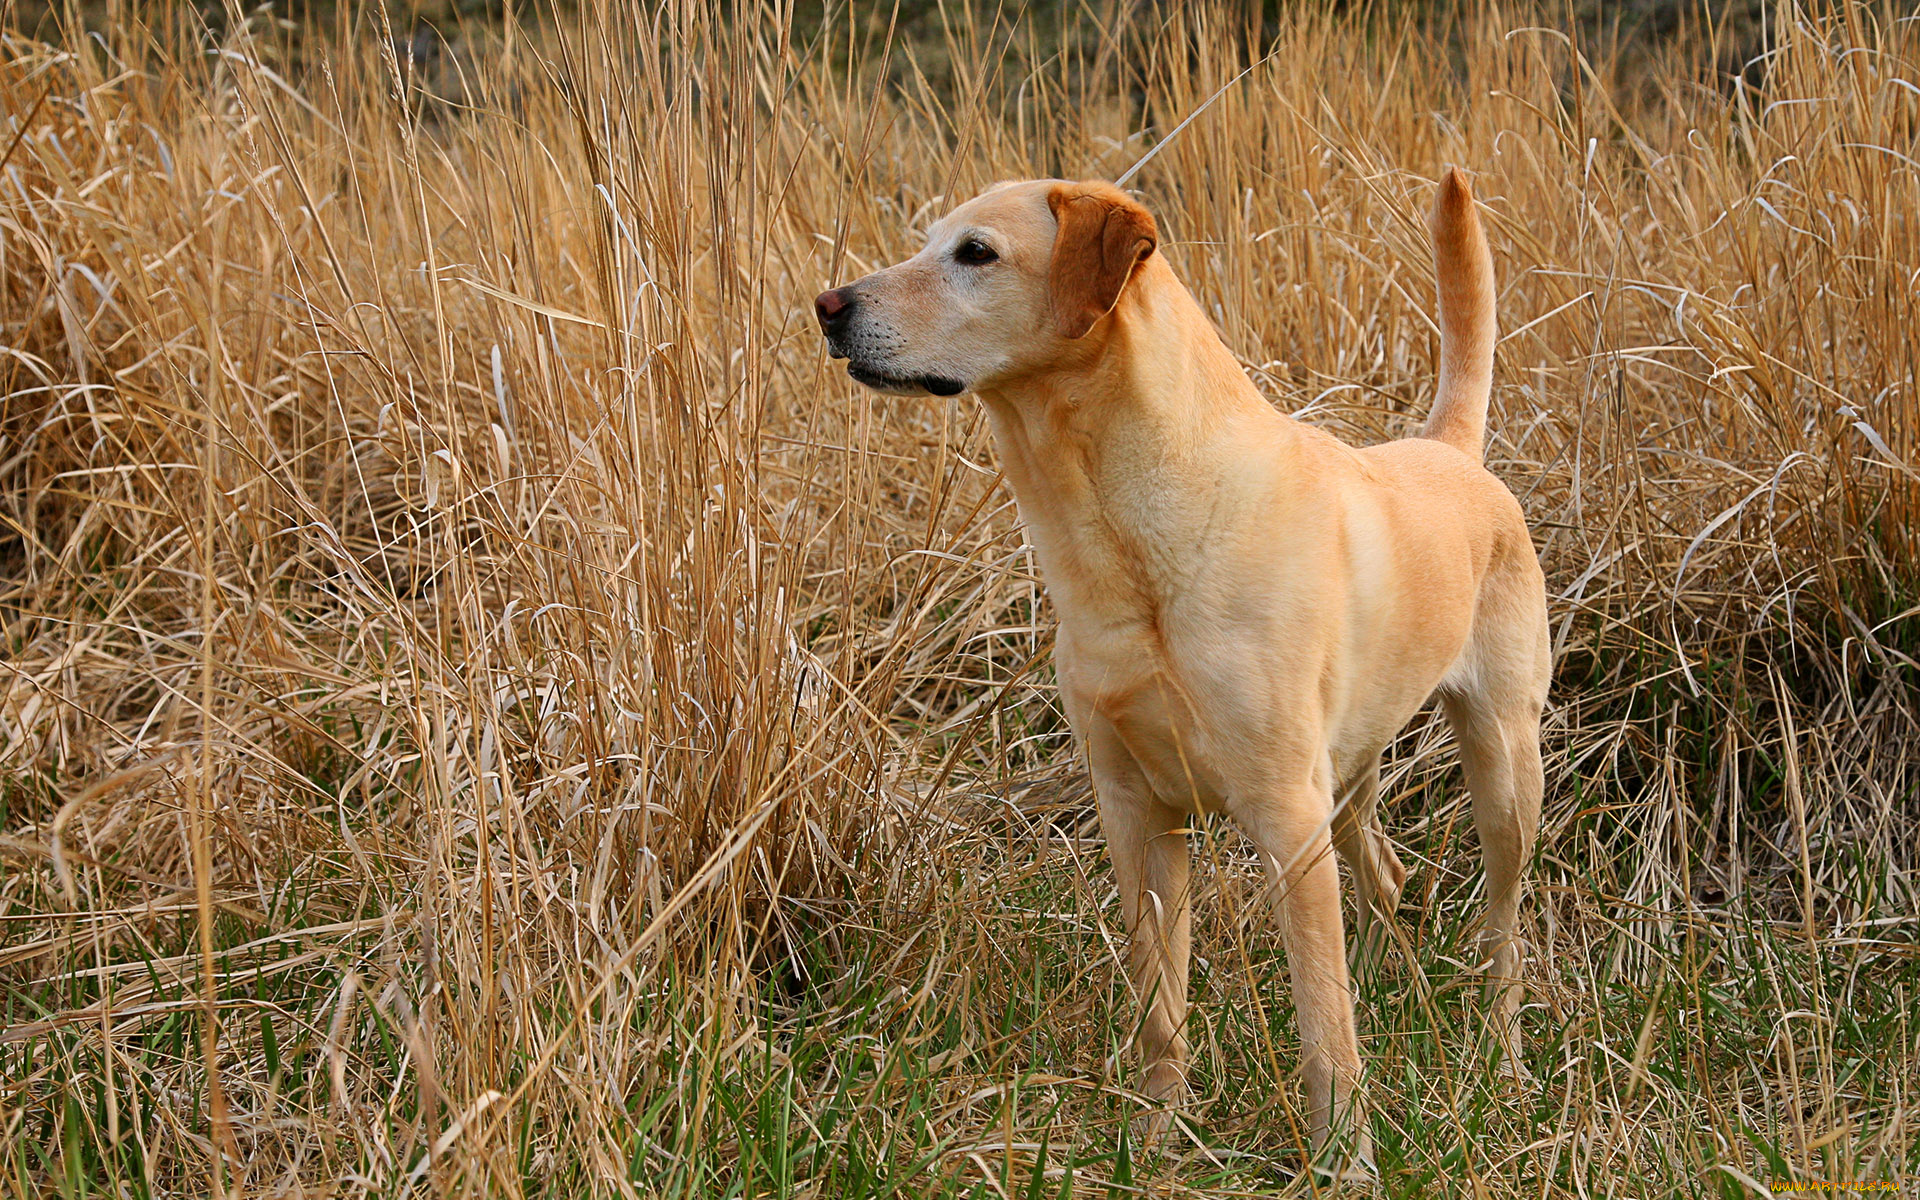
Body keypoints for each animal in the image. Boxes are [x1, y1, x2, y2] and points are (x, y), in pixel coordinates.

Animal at [817, 170, 1551, 1182]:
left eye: (975, 254)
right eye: (928, 243)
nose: (828, 306)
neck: (1127, 535)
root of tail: (1450, 451)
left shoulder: (1284, 812)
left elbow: (1322, 1022)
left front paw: (1345, 1160)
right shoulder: (1137, 814)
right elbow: (1160, 1008)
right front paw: (1157, 1141)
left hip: (1503, 771)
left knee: (1502, 933)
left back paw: (1506, 1068)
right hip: (1349, 779)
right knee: (1387, 876)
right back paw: (1394, 982)